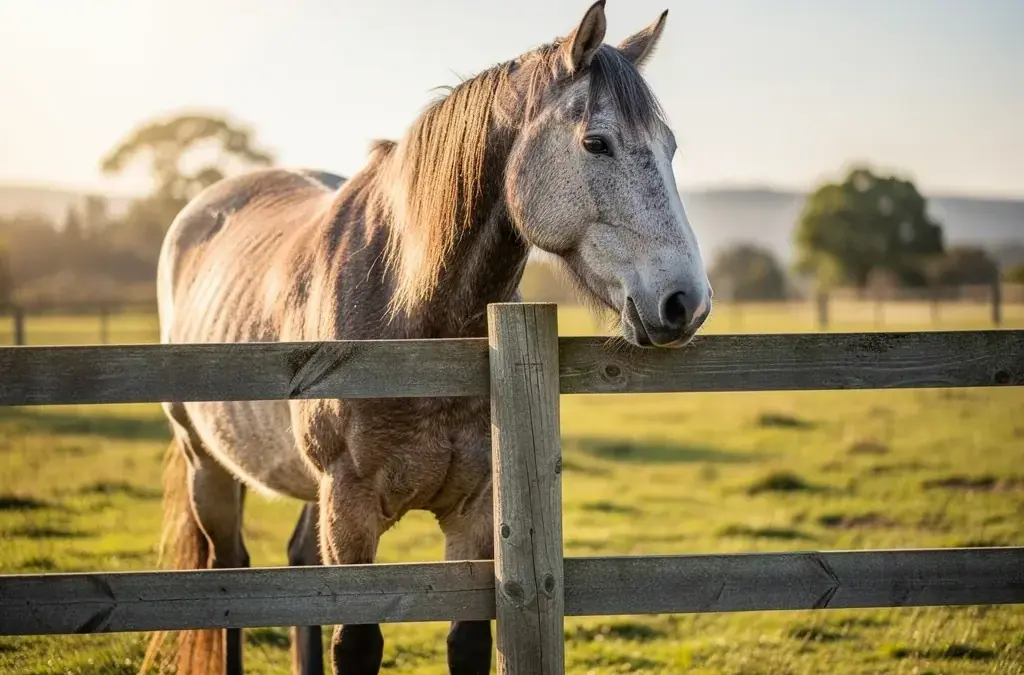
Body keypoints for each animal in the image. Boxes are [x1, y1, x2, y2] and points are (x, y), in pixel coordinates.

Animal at [143, 2, 712, 674]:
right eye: (596, 143)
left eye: (670, 148)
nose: (687, 302)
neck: (413, 322)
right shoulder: (352, 508)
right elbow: (357, 644)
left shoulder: (475, 513)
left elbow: (466, 642)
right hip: (208, 465)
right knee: (230, 578)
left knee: (299, 568)